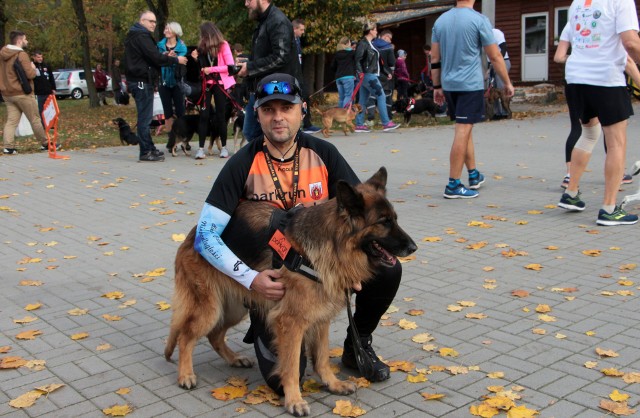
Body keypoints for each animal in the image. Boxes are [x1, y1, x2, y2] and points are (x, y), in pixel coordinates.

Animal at [164, 167, 416, 414]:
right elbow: (292, 365)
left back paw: (233, 359)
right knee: (186, 336)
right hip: (211, 309)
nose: (413, 247)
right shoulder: (291, 322)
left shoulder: (321, 317)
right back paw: (186, 375)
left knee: (214, 335)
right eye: (383, 222)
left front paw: (332, 384)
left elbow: (322, 357)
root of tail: (194, 235)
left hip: (234, 309)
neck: (331, 244)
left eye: (395, 220)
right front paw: (294, 400)